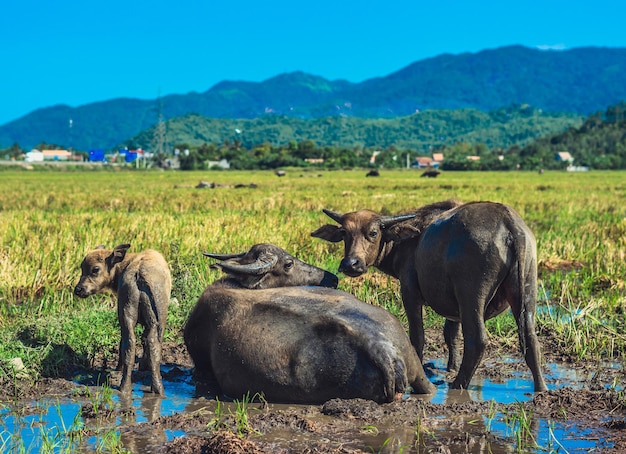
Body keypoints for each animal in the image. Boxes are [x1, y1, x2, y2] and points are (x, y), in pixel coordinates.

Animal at [73, 243, 171, 396]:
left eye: (95, 269)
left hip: (127, 313)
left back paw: (126, 386)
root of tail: (138, 275)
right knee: (151, 343)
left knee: (130, 344)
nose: (78, 289)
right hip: (155, 318)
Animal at [310, 200, 544, 392]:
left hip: (471, 296)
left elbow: (418, 336)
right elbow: (451, 335)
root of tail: (509, 224)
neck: (410, 242)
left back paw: (458, 384)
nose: (351, 264)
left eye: (373, 233)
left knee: (477, 340)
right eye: (344, 234)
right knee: (531, 339)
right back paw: (540, 387)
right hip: (526, 290)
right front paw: (451, 367)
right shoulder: (454, 309)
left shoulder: (410, 293)